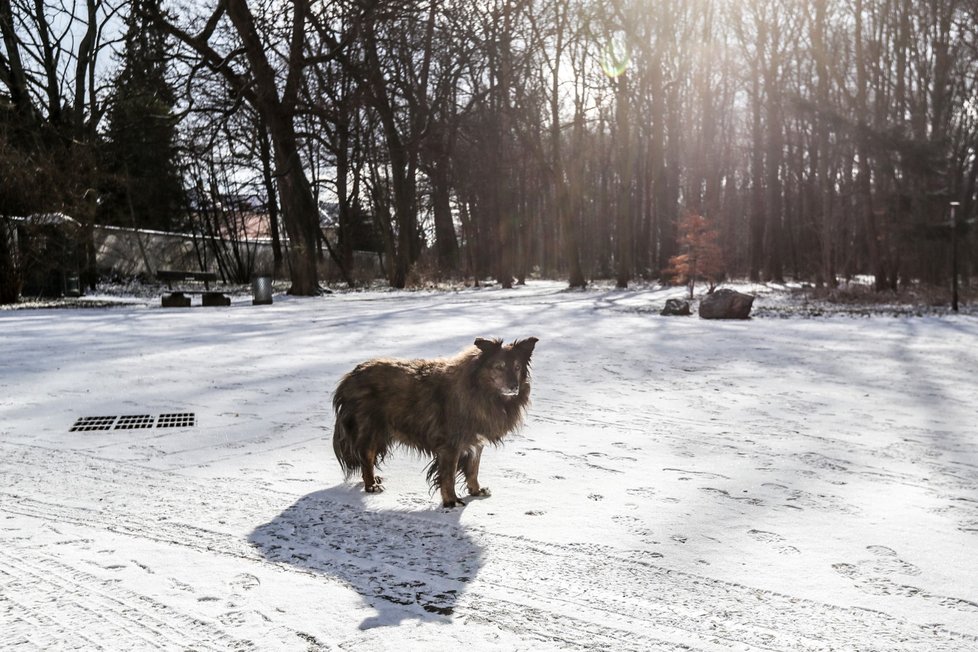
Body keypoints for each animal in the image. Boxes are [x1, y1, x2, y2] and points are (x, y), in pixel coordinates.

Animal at [332, 338, 536, 506]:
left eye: (517, 367)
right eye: (499, 366)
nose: (514, 387)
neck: (480, 391)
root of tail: (350, 376)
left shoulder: (476, 442)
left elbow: (473, 469)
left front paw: (476, 490)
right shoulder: (451, 445)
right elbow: (449, 475)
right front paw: (451, 501)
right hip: (370, 428)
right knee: (366, 457)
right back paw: (370, 485)